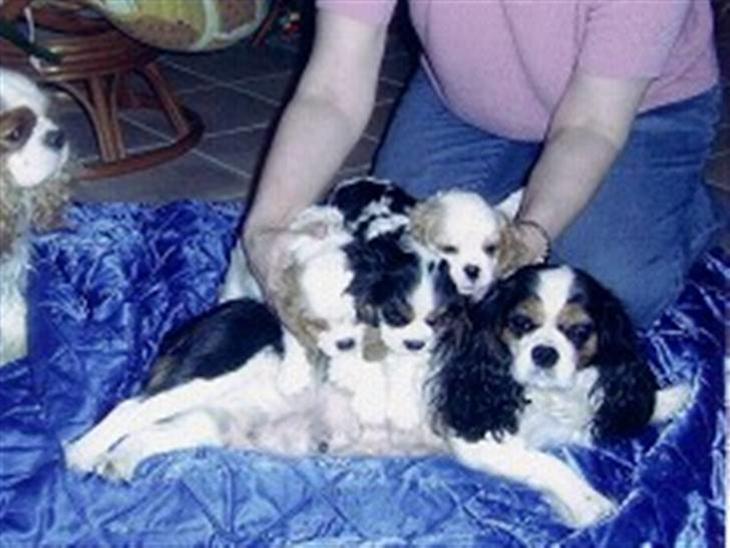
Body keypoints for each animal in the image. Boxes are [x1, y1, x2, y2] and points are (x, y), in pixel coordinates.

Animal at [430, 264, 691, 528]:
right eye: (521, 322)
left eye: (580, 331)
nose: (544, 353)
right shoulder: (479, 443)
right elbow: (550, 463)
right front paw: (586, 501)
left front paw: (667, 400)